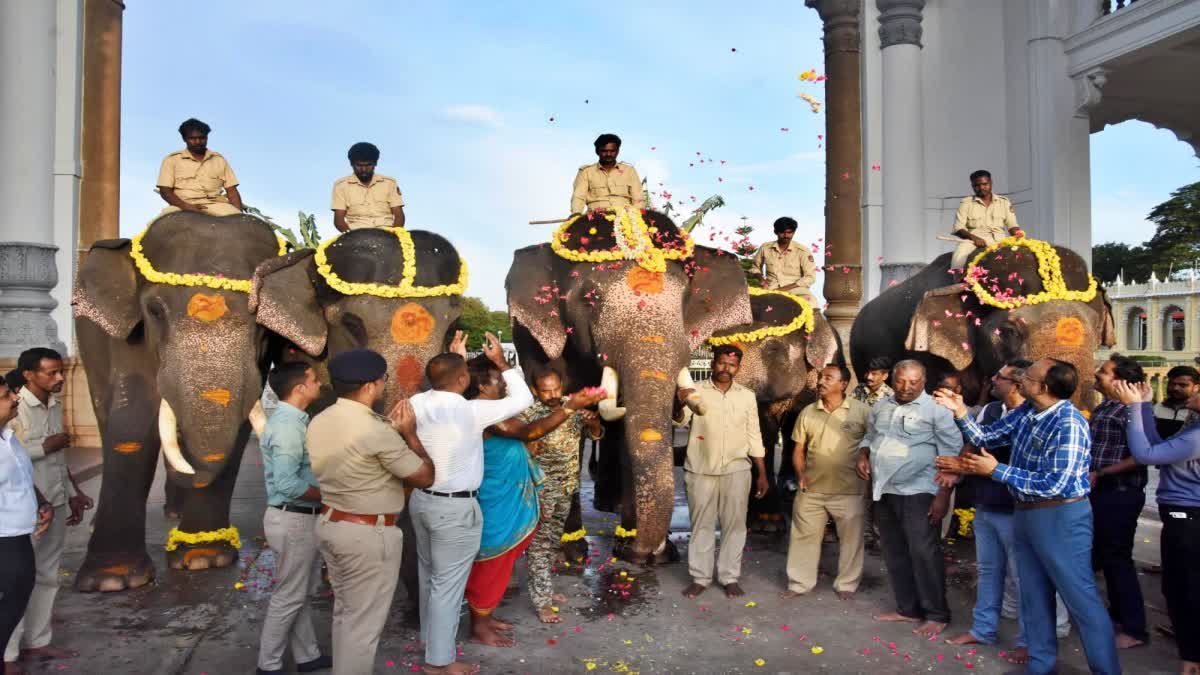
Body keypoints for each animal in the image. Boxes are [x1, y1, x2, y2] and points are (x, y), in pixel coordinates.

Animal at [71, 211, 309, 588]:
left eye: (262, 320)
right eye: (154, 311)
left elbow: (237, 426)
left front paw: (203, 559)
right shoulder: (132, 335)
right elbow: (134, 418)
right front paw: (111, 580)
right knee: (105, 412)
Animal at [506, 210, 748, 562]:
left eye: (685, 300)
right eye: (589, 300)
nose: (645, 550)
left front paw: (642, 553)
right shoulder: (535, 341)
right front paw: (571, 553)